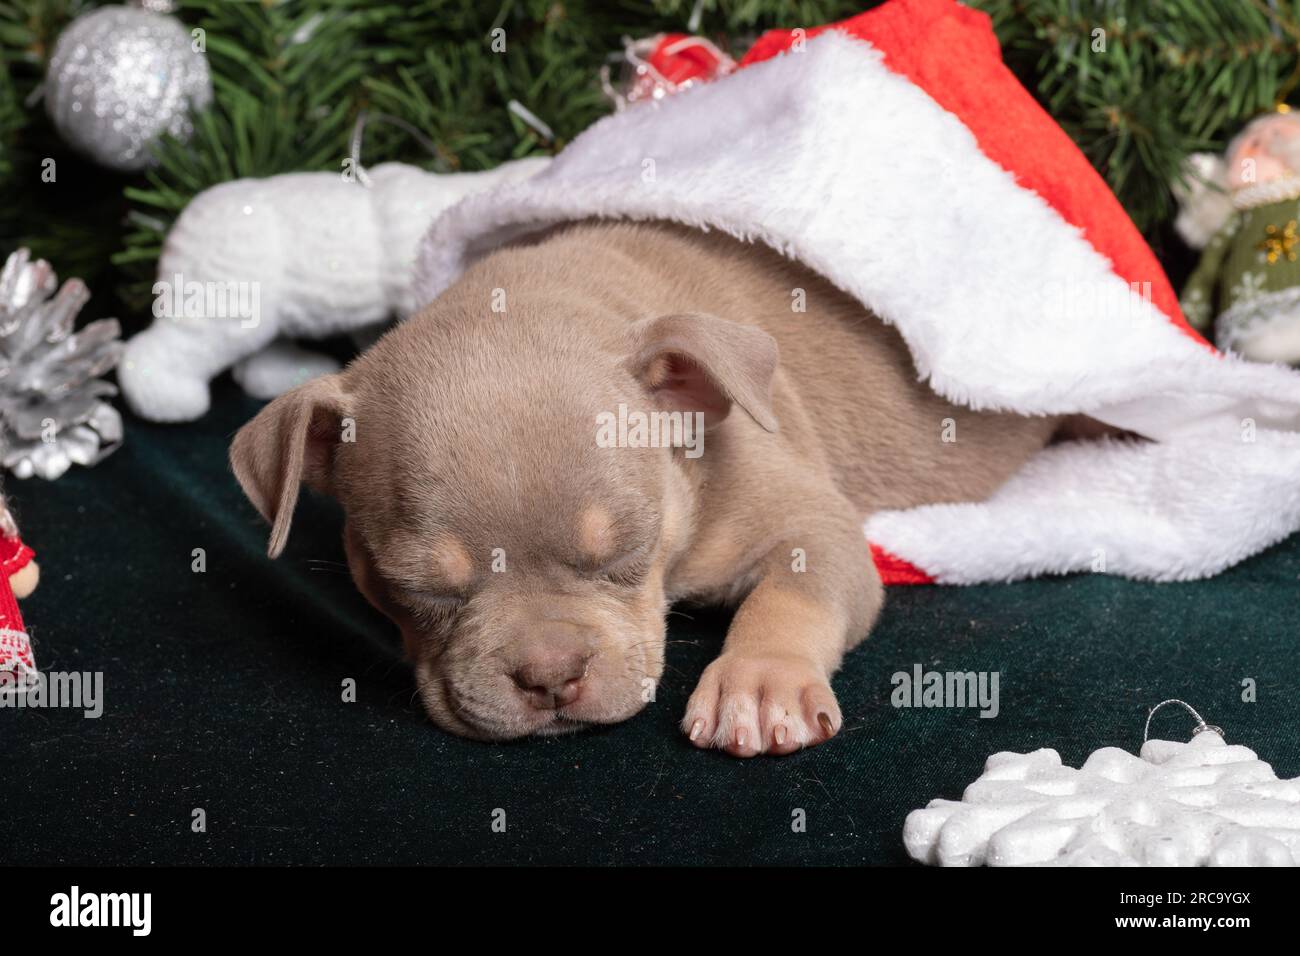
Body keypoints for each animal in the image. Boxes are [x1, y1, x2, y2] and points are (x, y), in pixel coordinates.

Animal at [228, 221, 1055, 759]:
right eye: (415, 588)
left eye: (628, 550)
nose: (549, 675)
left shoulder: (809, 524)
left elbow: (793, 591)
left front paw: (760, 683)